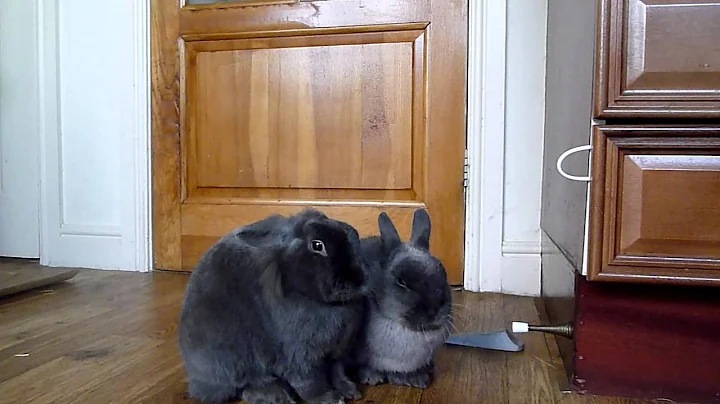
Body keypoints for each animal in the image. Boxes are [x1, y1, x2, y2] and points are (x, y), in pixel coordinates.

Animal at [178, 208, 370, 404]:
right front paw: (329, 398)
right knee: (245, 385)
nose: (359, 279)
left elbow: (337, 371)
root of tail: (195, 379)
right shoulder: (299, 355)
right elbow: (309, 381)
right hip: (232, 360)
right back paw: (276, 395)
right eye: (317, 245)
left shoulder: (335, 352)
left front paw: (349, 390)